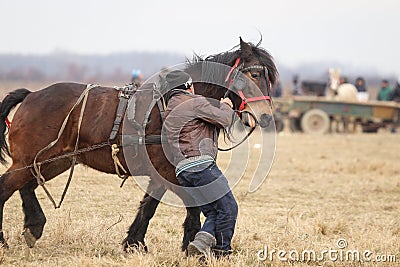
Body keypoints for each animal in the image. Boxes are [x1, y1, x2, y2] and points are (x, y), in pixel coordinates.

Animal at [0, 38, 278, 252]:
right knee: (6, 188)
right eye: (254, 74)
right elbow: (190, 205)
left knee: (26, 187)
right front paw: (190, 243)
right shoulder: (170, 173)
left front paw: (134, 242)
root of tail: (31, 95)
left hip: (53, 161)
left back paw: (34, 226)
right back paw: (6, 240)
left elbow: (149, 207)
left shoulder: (164, 174)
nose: (265, 117)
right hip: (29, 161)